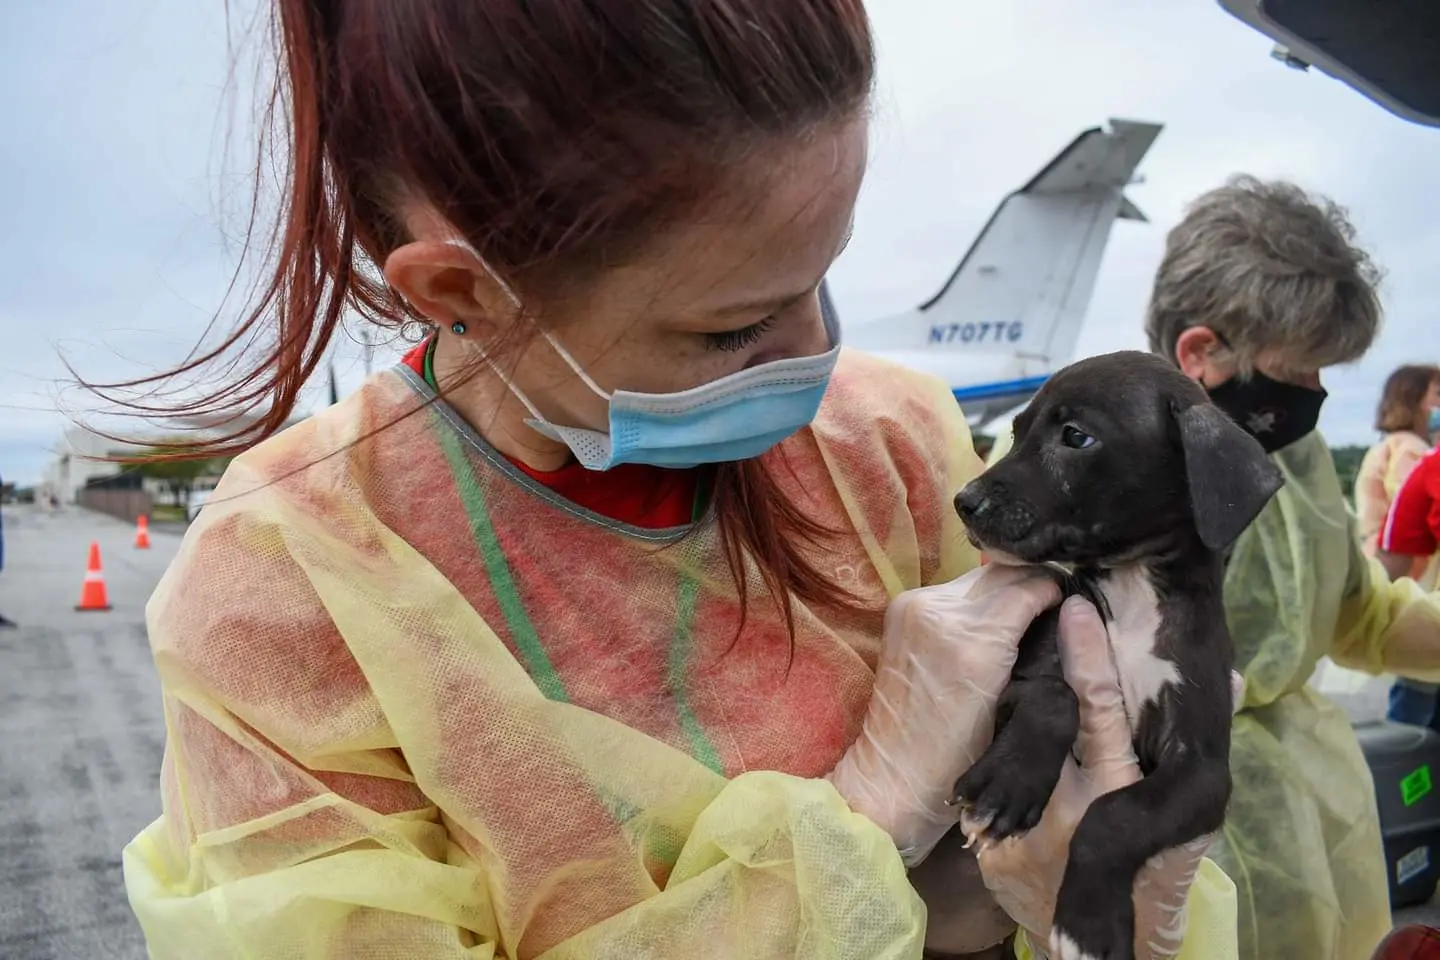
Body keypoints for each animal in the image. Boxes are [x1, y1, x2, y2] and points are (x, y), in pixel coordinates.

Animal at [950, 351, 1278, 960]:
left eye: (1076, 436)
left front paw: (1089, 924)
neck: (1131, 588)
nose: (965, 500)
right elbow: (1055, 697)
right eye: (1016, 430)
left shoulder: (1203, 770)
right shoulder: (1021, 679)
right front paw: (1008, 786)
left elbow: (1117, 814)